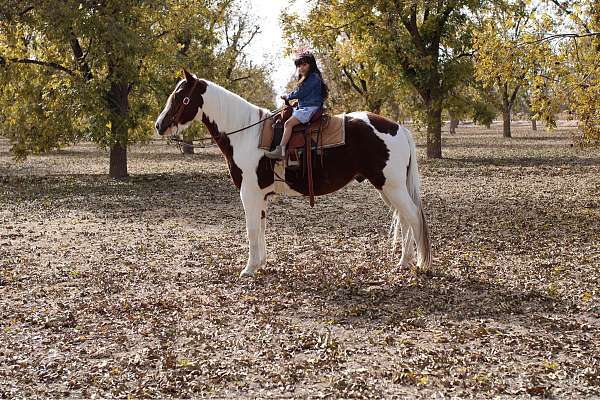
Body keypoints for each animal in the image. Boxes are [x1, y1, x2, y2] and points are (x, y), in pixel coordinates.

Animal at [155, 70, 432, 276]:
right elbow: (261, 227)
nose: (159, 125)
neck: (247, 134)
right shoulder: (261, 196)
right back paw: (404, 262)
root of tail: (398, 128)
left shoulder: (249, 193)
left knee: (413, 217)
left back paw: (420, 264)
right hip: (388, 189)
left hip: (392, 187)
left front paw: (249, 269)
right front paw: (260, 263)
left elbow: (252, 229)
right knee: (405, 219)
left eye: (180, 96)